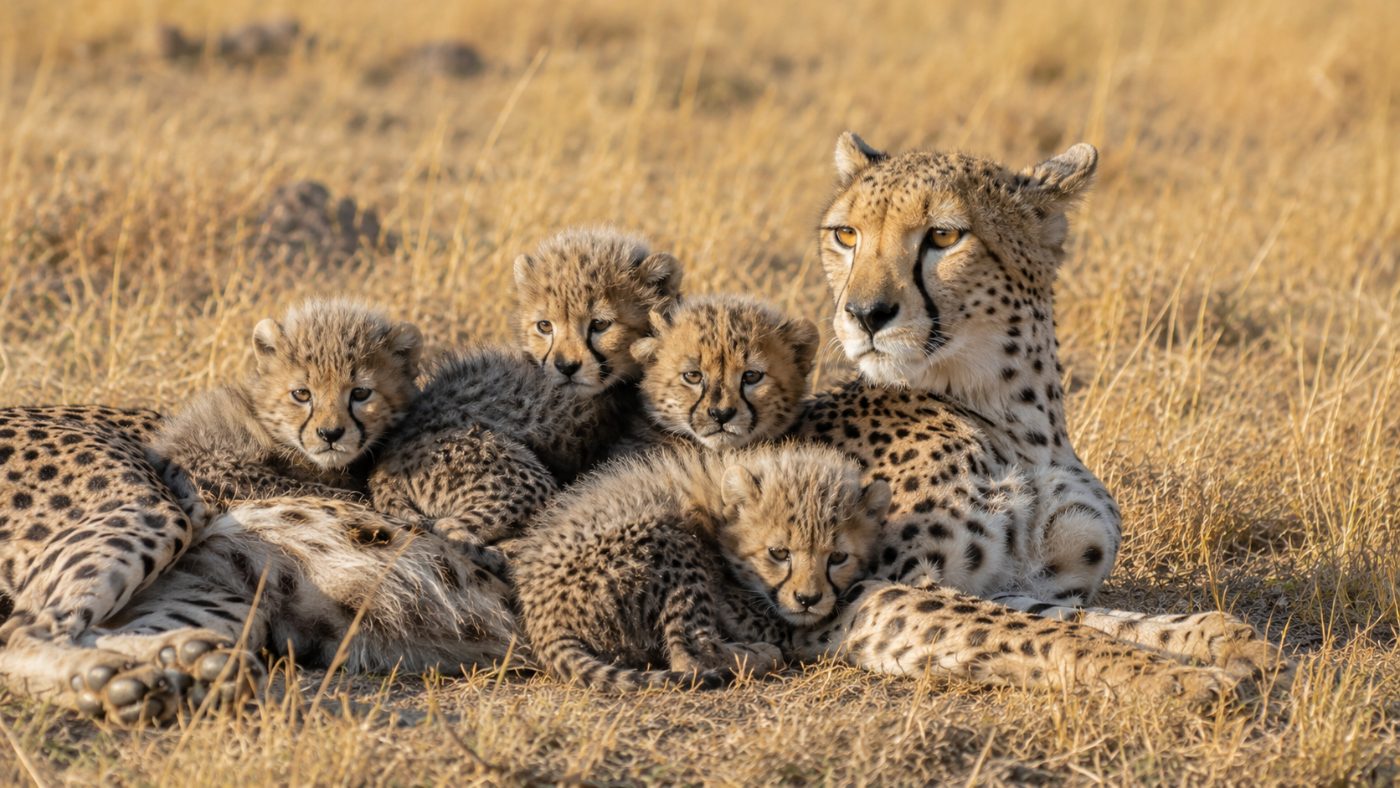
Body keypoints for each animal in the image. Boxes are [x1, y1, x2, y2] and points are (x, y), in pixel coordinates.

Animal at [792, 132, 1289, 687]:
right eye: (846, 234)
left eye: (943, 235)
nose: (864, 314)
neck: (1014, 419)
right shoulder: (850, 596)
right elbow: (1043, 631)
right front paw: (1170, 678)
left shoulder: (1024, 581)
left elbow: (1082, 618)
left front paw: (1220, 638)